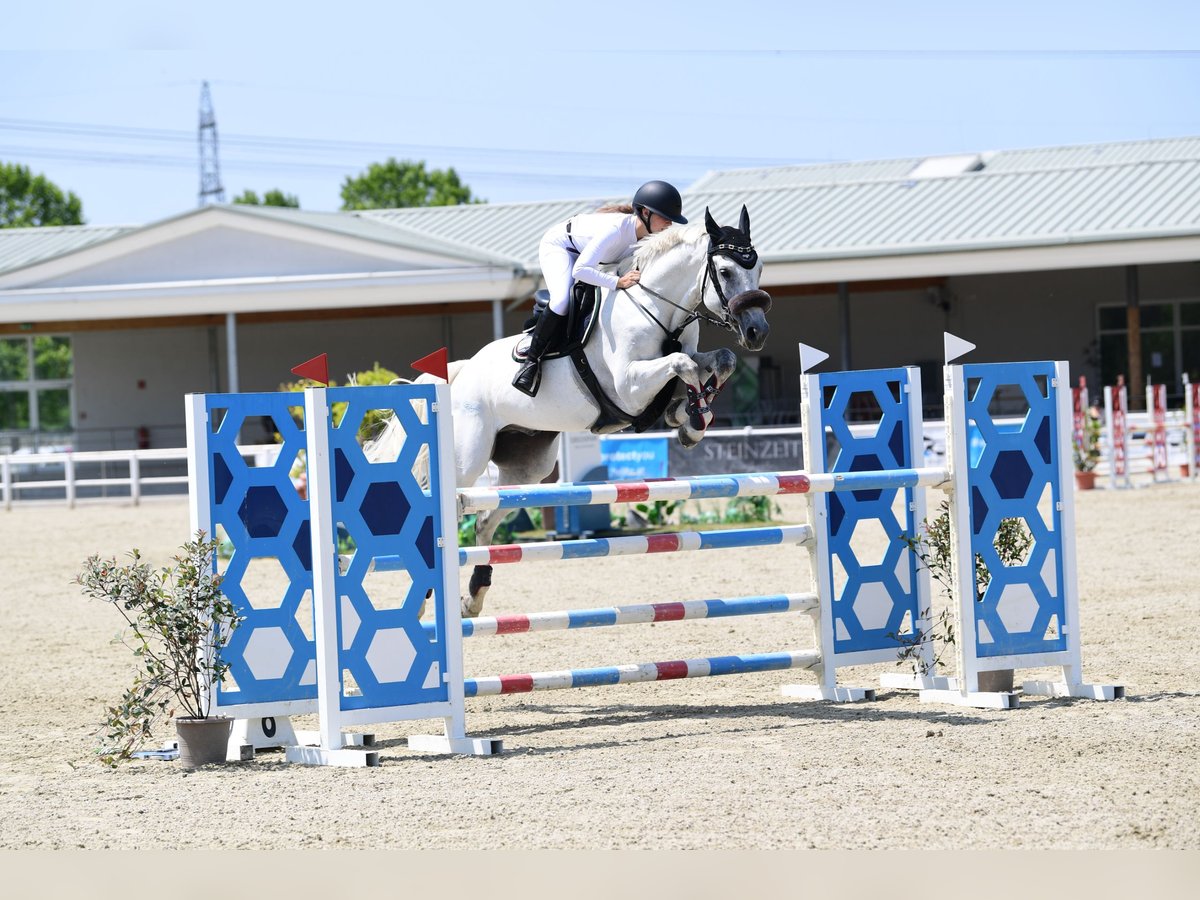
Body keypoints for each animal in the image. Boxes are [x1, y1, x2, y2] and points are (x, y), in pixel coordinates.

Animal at [367, 205, 772, 617]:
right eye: (725, 272)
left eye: (758, 269)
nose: (757, 332)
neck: (656, 309)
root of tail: (459, 374)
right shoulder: (628, 387)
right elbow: (682, 366)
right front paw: (688, 417)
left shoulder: (686, 358)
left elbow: (719, 360)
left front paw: (690, 418)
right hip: (466, 459)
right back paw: (424, 603)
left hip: (526, 466)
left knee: (485, 520)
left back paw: (473, 596)